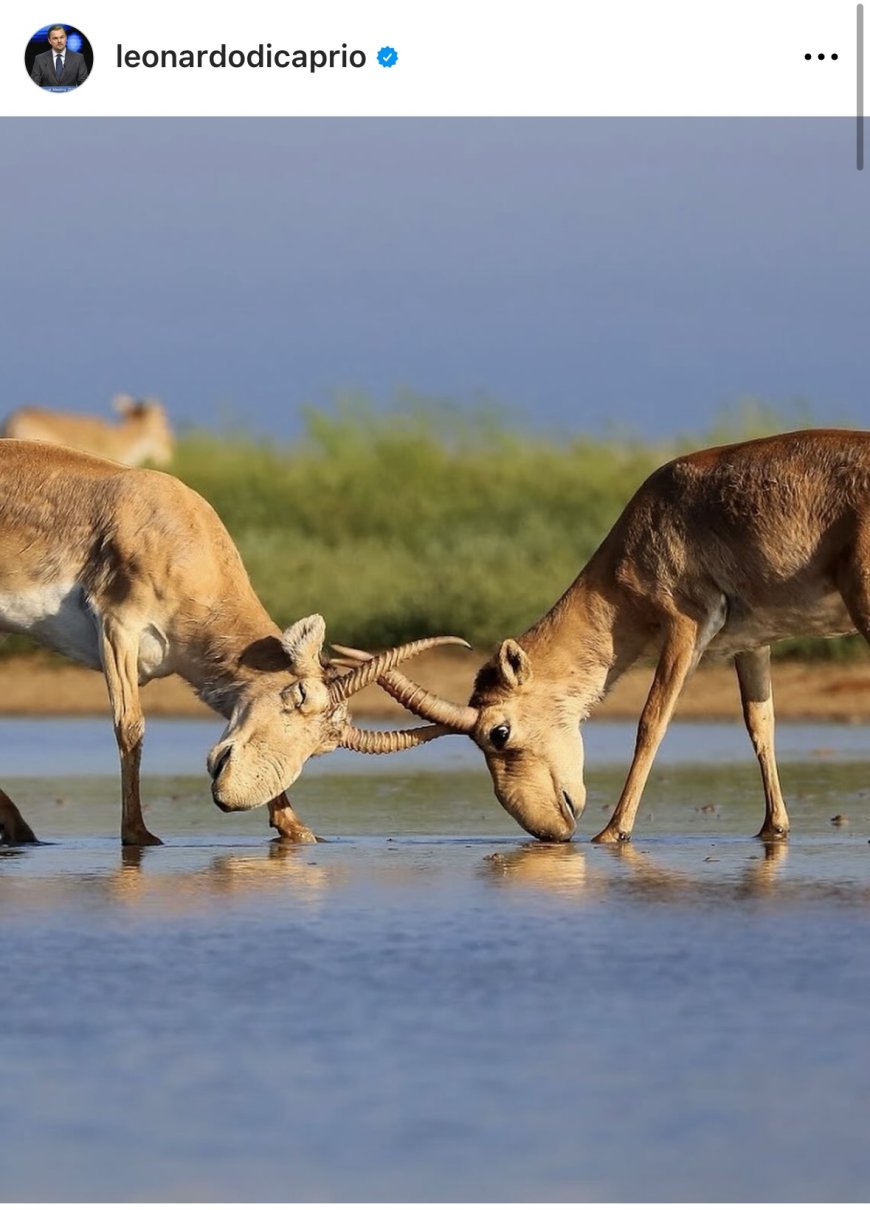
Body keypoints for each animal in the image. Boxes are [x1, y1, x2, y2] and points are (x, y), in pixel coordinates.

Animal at [0, 440, 462, 847]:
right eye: (299, 694)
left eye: (322, 747)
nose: (228, 798)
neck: (179, 533)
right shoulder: (117, 627)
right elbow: (130, 725)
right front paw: (139, 835)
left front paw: (299, 831)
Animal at [341, 430, 870, 847]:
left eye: (498, 732)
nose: (548, 832)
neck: (658, 515)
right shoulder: (752, 642)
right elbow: (761, 724)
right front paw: (773, 828)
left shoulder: (685, 626)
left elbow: (651, 722)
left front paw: (613, 832)